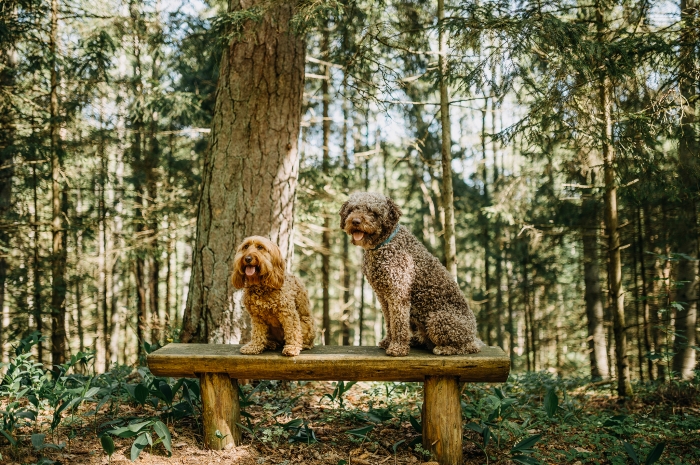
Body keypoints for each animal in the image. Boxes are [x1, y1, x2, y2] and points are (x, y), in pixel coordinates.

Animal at [340, 191, 482, 356]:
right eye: (352, 209)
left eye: (372, 211)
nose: (355, 221)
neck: (384, 245)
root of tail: (473, 332)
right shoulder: (383, 296)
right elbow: (389, 322)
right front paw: (388, 342)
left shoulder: (398, 293)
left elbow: (399, 323)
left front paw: (397, 347)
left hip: (438, 319)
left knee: (468, 346)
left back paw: (444, 348)